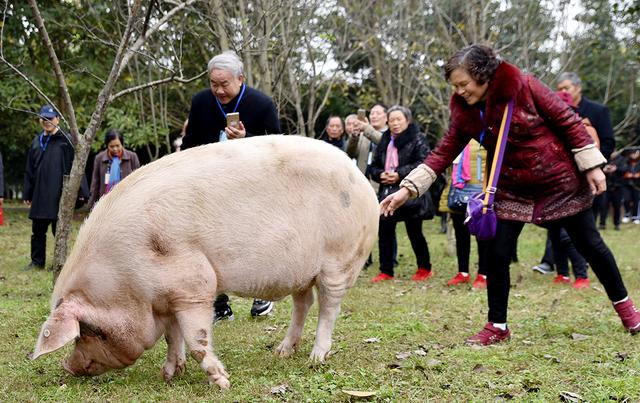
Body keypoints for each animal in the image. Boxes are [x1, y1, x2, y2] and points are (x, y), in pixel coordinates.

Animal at [32, 137, 378, 392]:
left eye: (91, 332)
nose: (68, 366)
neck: (125, 280)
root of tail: (360, 178)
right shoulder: (167, 297)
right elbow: (173, 336)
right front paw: (169, 374)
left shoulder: (194, 285)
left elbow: (196, 337)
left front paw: (222, 383)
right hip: (301, 271)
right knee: (303, 303)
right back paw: (282, 351)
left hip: (338, 260)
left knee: (329, 307)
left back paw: (316, 358)